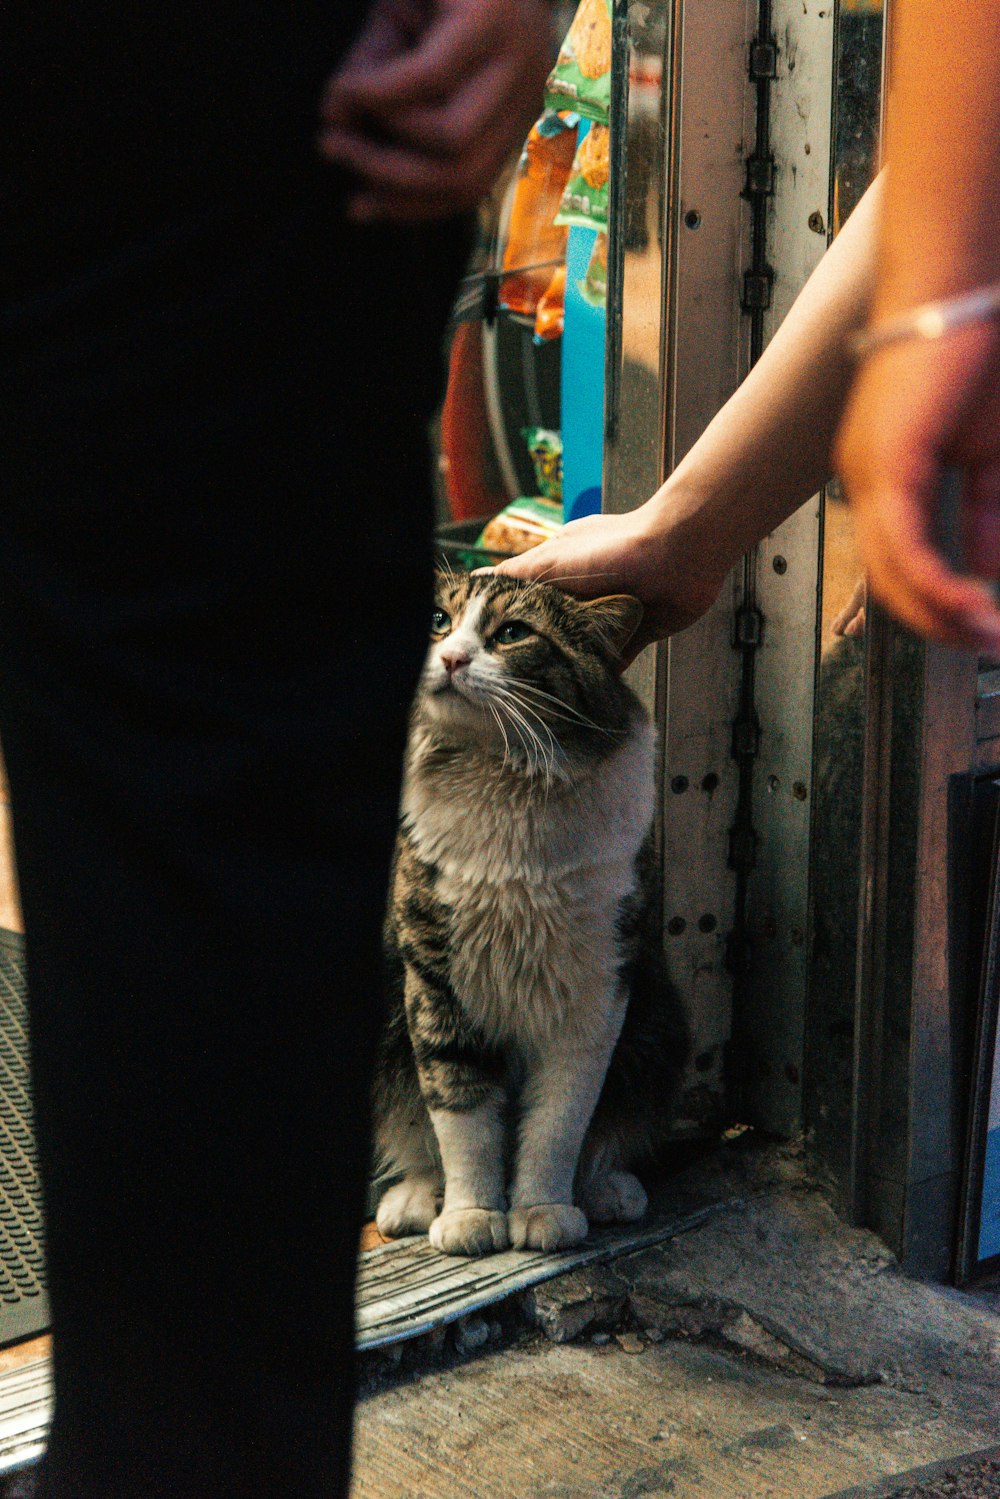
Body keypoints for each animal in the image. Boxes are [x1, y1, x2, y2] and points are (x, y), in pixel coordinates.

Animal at [373, 566, 689, 1259]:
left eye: (512, 633)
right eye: (437, 620)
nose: (451, 657)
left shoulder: (595, 992)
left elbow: (559, 1121)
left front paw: (543, 1211)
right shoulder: (436, 985)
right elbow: (461, 1118)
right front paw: (471, 1217)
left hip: (658, 1023)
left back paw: (606, 1189)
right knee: (418, 1141)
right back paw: (414, 1201)